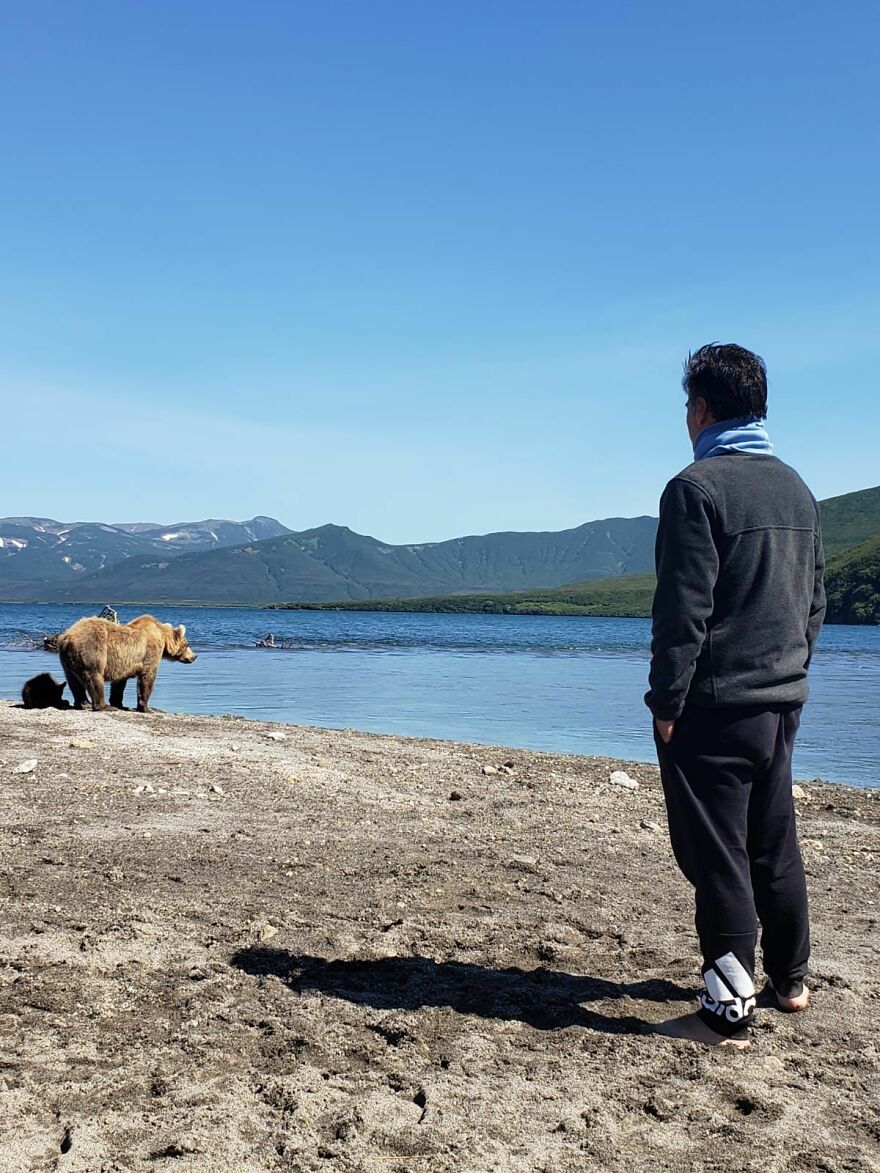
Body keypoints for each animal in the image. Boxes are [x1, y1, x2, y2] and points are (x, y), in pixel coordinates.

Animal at [57, 614, 197, 713]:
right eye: (187, 644)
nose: (194, 656)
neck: (162, 636)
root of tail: (67, 637)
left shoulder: (122, 663)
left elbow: (119, 683)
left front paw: (119, 703)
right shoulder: (150, 652)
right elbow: (147, 677)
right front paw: (146, 708)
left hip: (67, 661)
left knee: (74, 681)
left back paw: (83, 703)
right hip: (92, 649)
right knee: (94, 676)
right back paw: (103, 706)